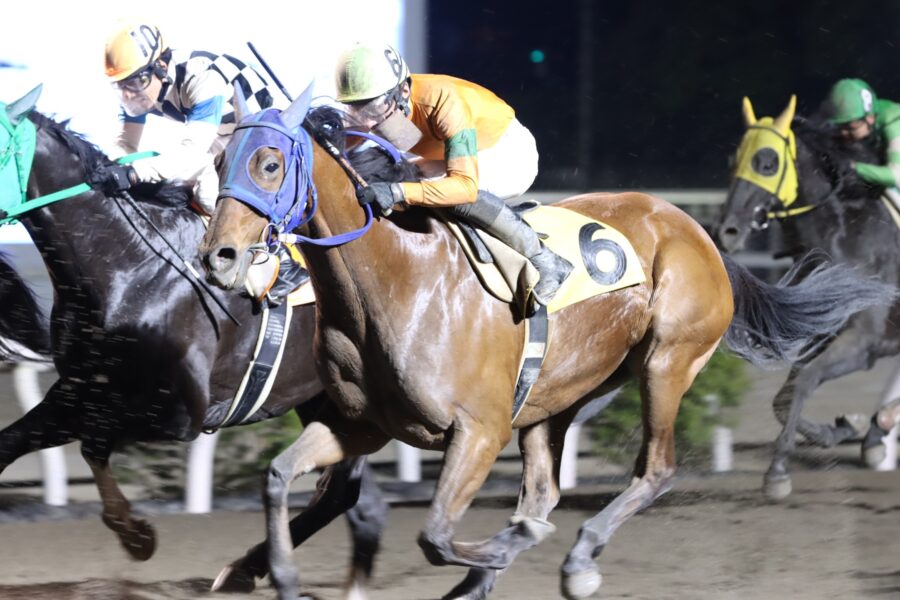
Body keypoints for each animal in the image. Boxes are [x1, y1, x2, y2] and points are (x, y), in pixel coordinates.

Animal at [0, 88, 388, 599]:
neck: (125, 267)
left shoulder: (181, 413)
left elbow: (93, 442)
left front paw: (136, 535)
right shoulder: (78, 389)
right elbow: (17, 443)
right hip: (327, 399)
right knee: (348, 497)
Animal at [716, 96, 900, 500]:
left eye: (766, 162)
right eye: (732, 159)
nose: (727, 231)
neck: (845, 236)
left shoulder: (863, 343)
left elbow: (803, 383)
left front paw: (777, 472)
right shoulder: (820, 334)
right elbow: (785, 398)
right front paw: (844, 428)